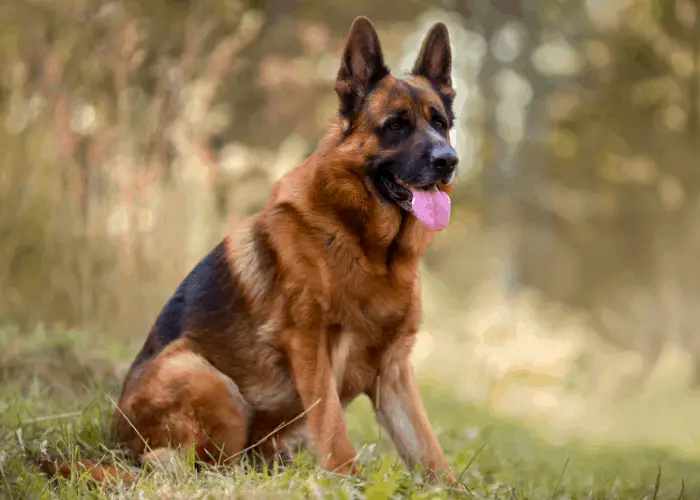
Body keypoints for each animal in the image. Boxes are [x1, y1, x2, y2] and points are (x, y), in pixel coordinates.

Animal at [41, 16, 462, 488]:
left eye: (440, 123)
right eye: (395, 125)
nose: (448, 160)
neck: (370, 249)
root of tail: (118, 442)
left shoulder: (394, 373)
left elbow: (430, 451)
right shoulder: (311, 347)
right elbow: (334, 429)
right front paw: (347, 483)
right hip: (204, 377)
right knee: (199, 469)